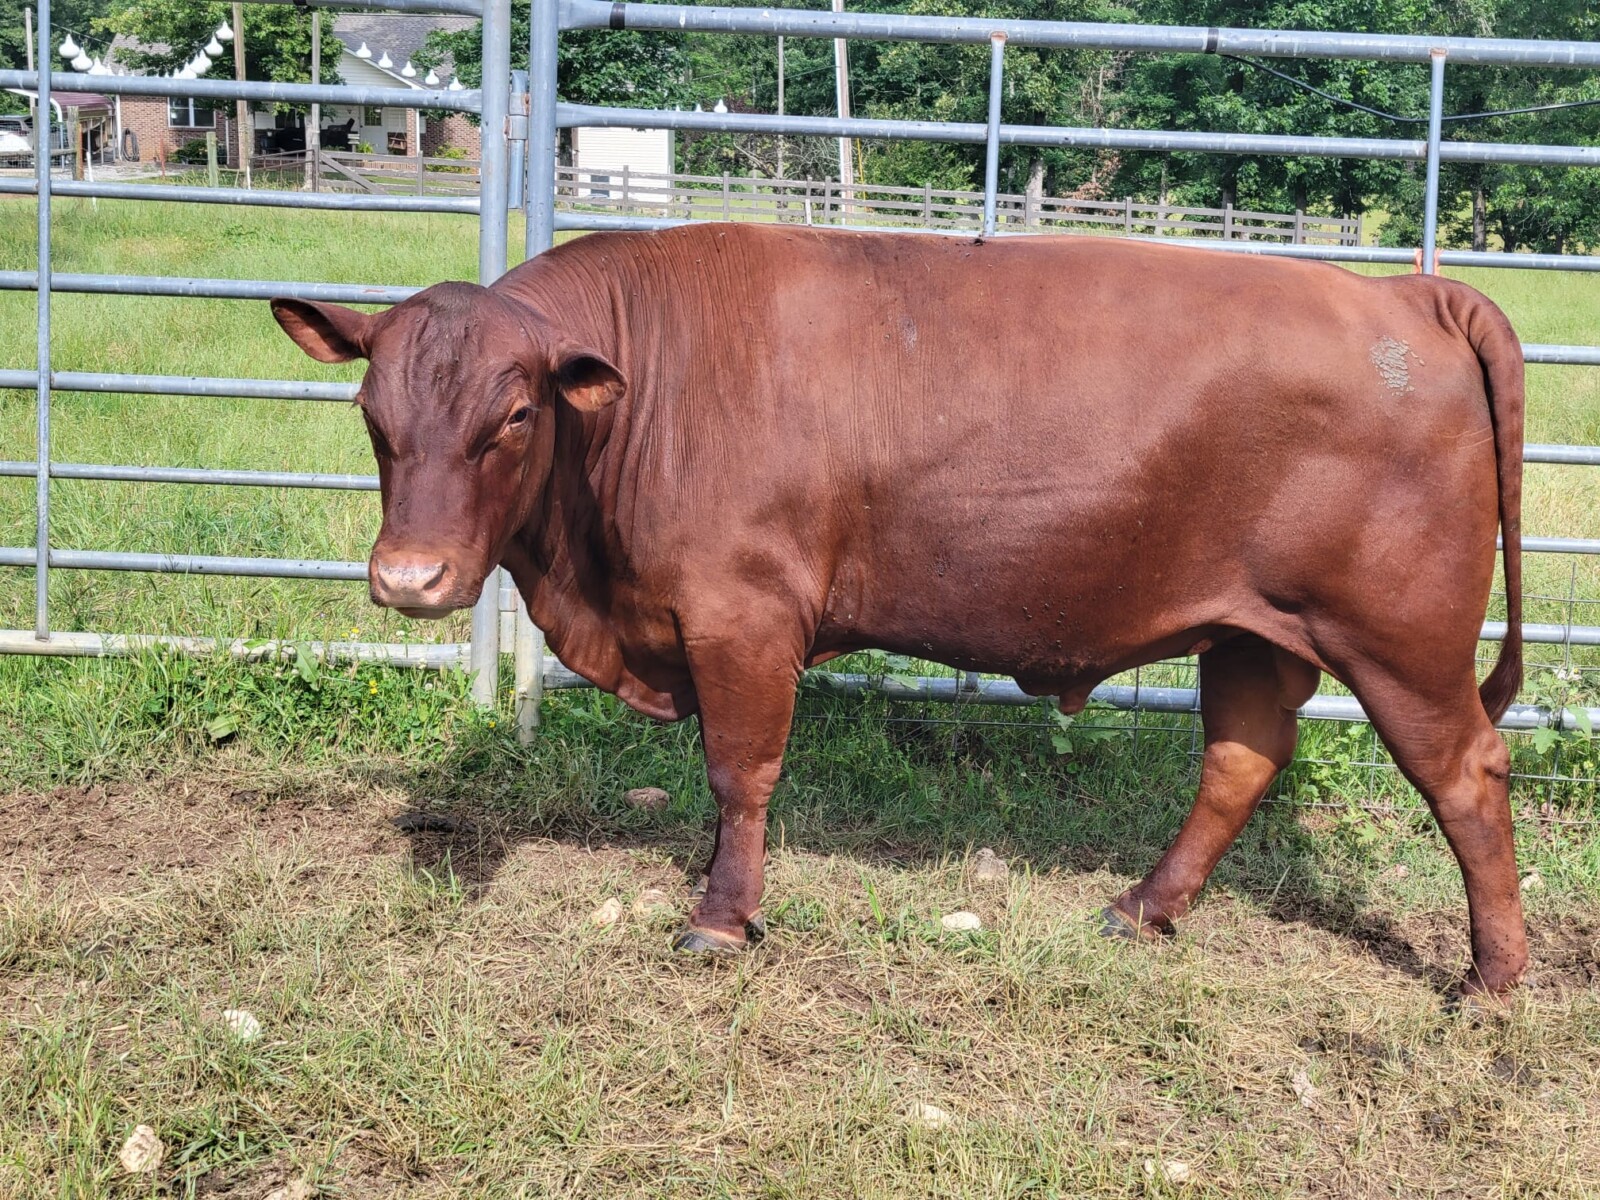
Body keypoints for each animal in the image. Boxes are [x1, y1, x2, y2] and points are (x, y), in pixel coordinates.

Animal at [272, 223, 1527, 1000]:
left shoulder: (742, 616)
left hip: (1400, 639)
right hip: (1252, 635)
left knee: (1466, 774)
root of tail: (1406, 290)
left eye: (516, 415)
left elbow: (740, 770)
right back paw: (1139, 910)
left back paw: (1491, 978)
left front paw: (721, 916)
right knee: (1238, 763)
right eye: (371, 411)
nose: (409, 579)